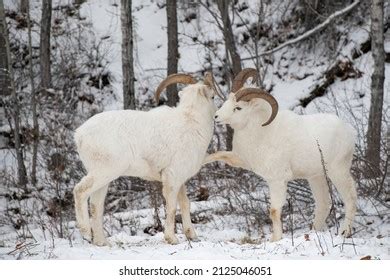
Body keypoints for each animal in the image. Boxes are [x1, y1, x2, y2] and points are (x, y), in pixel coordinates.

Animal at [72, 72, 219, 245]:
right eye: (213, 96)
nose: (217, 115)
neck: (191, 124)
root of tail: (79, 135)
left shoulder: (179, 180)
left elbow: (185, 203)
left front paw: (192, 236)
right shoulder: (172, 178)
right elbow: (171, 207)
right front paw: (172, 239)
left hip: (104, 180)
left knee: (96, 205)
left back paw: (102, 242)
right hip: (103, 172)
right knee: (80, 191)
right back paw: (86, 232)